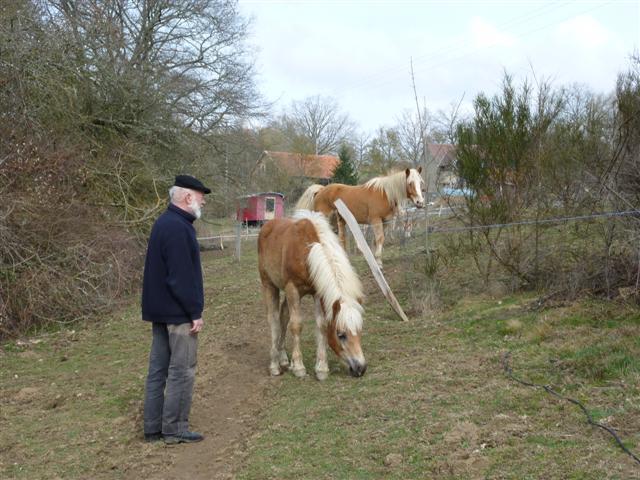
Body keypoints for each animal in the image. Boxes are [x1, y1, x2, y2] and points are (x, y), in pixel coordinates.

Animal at [255, 210, 364, 378]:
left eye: (359, 331)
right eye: (341, 334)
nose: (361, 368)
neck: (306, 251)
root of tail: (266, 226)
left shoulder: (317, 292)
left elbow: (321, 325)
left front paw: (321, 368)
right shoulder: (292, 289)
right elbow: (296, 325)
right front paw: (299, 367)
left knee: (283, 316)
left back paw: (284, 359)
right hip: (269, 285)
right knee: (274, 320)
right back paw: (274, 365)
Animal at [296, 168, 424, 266]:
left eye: (420, 183)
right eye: (410, 183)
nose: (420, 202)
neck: (385, 194)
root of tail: (321, 190)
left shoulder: (385, 222)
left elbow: (377, 240)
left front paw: (376, 260)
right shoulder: (376, 220)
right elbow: (380, 238)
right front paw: (378, 262)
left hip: (338, 221)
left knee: (340, 239)